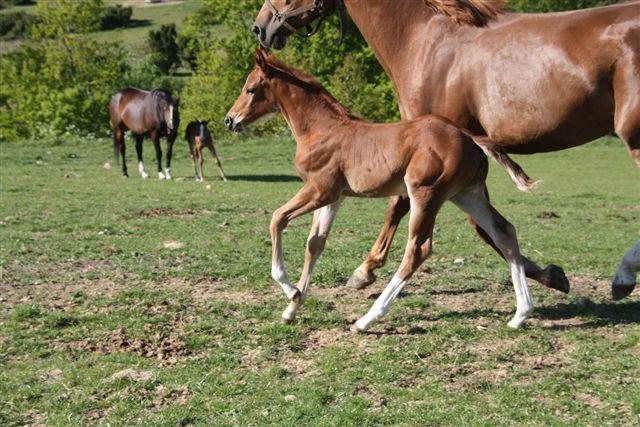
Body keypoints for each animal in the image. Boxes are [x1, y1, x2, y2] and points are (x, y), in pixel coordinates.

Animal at [254, 0, 640, 300]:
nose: (261, 27)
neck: (424, 40)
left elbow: (423, 213)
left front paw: (364, 270)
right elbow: (484, 226)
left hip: (632, 136)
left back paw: (624, 275)